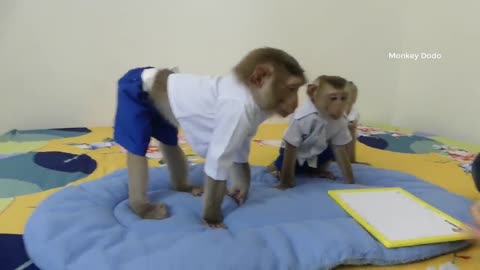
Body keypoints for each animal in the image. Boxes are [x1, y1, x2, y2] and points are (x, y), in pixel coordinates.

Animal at [114, 47, 306, 228]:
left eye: (297, 89)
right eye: (292, 88)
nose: (296, 104)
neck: (249, 95)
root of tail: (149, 72)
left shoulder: (247, 122)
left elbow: (238, 154)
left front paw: (240, 190)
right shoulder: (235, 114)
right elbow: (218, 160)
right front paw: (211, 217)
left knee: (168, 141)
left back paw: (182, 187)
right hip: (132, 94)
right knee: (136, 147)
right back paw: (141, 207)